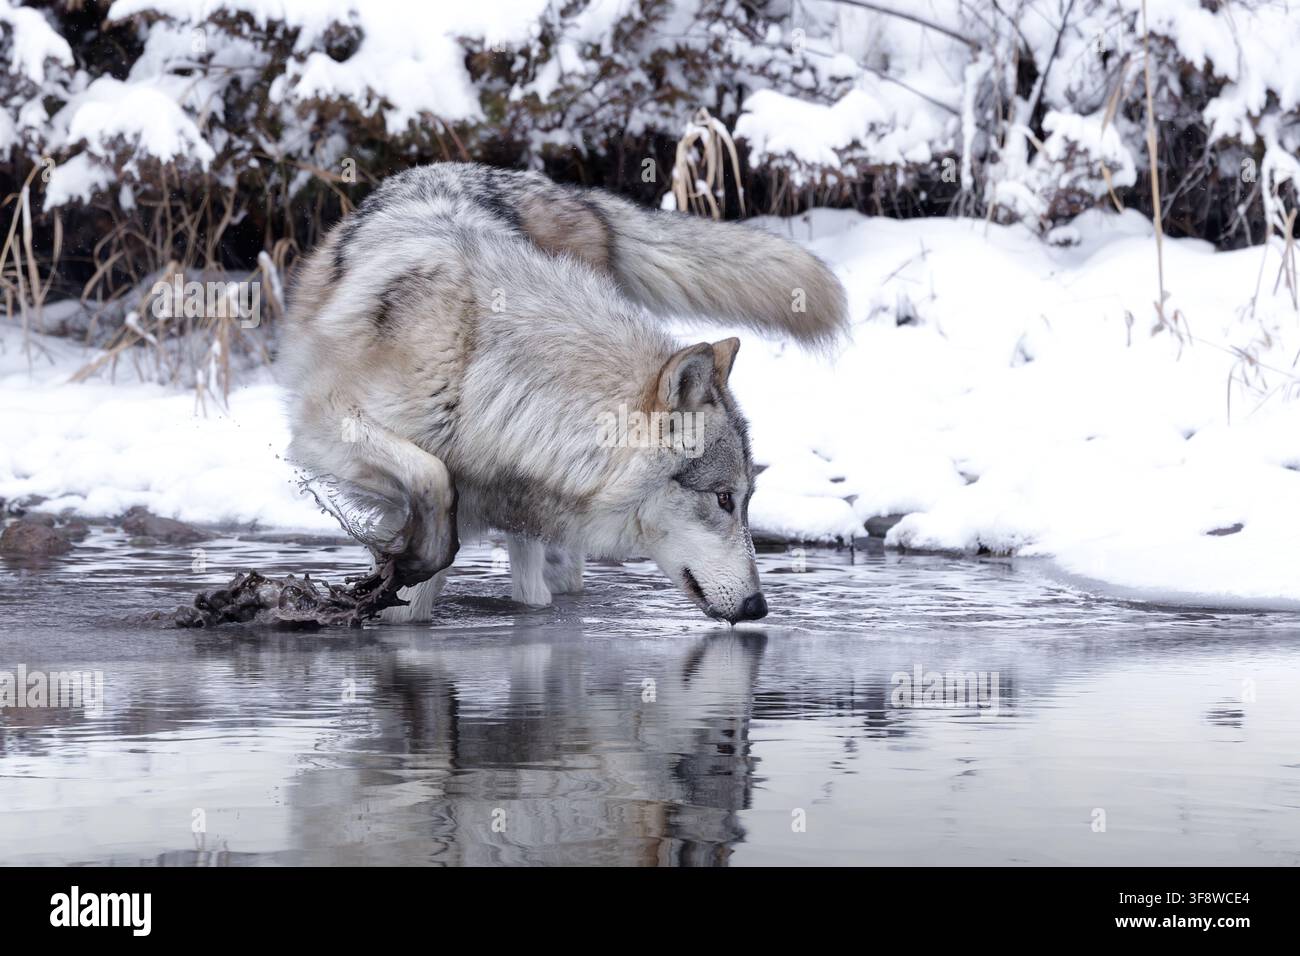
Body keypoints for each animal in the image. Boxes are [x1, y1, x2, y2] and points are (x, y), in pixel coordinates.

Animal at [280, 163, 846, 624]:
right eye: (725, 499)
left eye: (747, 501)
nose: (759, 607)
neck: (480, 367)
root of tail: (570, 192)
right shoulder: (322, 425)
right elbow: (432, 474)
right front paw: (404, 559)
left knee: (544, 592)